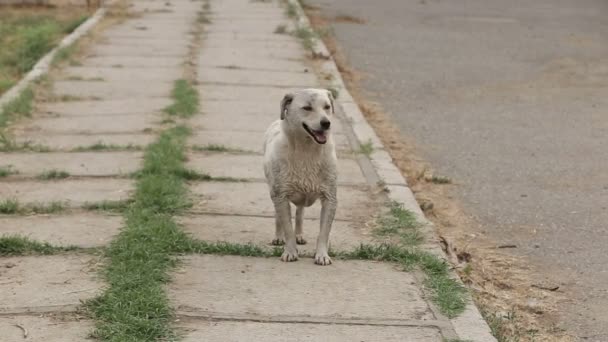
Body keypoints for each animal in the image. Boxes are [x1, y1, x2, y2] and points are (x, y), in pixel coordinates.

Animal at [262, 87, 338, 264]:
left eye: (327, 107)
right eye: (307, 108)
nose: (326, 123)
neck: (307, 150)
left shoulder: (330, 197)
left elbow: (324, 232)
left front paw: (322, 255)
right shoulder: (280, 195)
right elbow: (287, 229)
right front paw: (290, 252)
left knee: (299, 213)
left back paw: (300, 235)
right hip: (274, 189)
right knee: (278, 217)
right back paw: (278, 237)